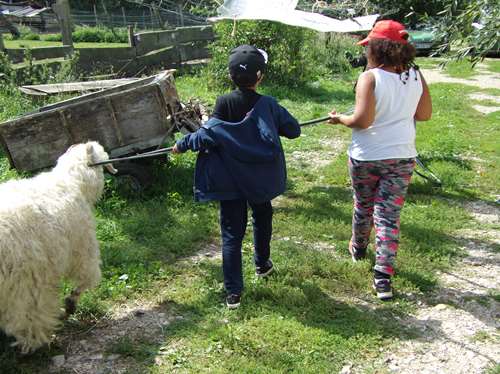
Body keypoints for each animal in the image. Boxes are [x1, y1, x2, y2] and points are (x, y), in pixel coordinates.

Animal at [0, 142, 116, 352]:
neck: (72, 181)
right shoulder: (82, 247)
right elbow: (87, 278)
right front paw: (70, 303)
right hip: (24, 282)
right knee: (28, 317)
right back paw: (36, 343)